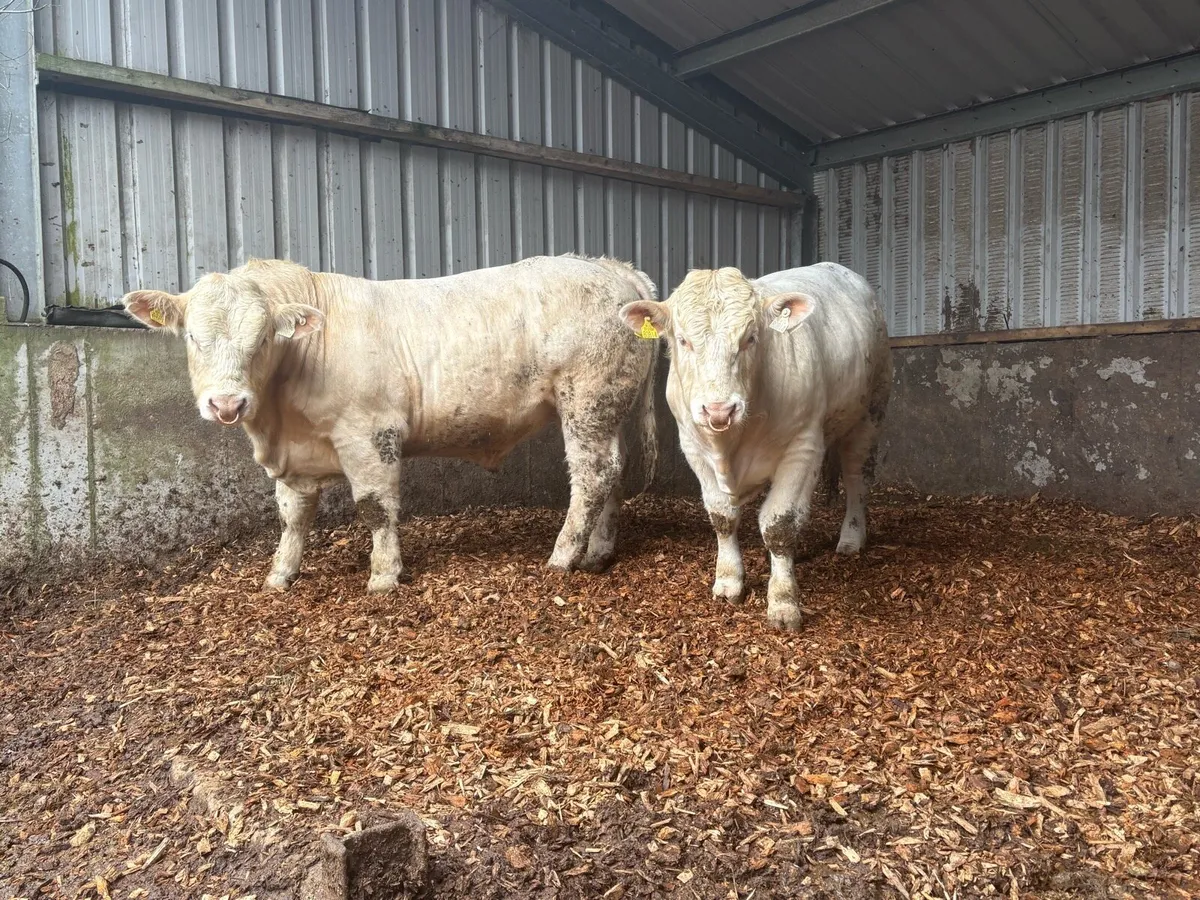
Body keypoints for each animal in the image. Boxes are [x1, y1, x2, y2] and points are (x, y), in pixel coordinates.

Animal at [122, 254, 660, 592]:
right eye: (193, 337)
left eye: (262, 340)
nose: (227, 403)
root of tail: (608, 266)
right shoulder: (297, 454)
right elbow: (293, 514)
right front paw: (280, 574)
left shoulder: (369, 433)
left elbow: (375, 507)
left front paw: (383, 575)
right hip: (608, 406)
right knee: (614, 470)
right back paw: (599, 553)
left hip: (586, 399)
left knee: (591, 475)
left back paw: (563, 556)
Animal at [618, 262, 891, 631]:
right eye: (683, 340)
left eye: (750, 338)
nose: (719, 410)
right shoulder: (693, 447)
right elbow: (722, 516)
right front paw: (729, 580)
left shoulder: (802, 446)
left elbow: (780, 523)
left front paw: (784, 602)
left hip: (869, 413)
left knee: (856, 477)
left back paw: (851, 537)